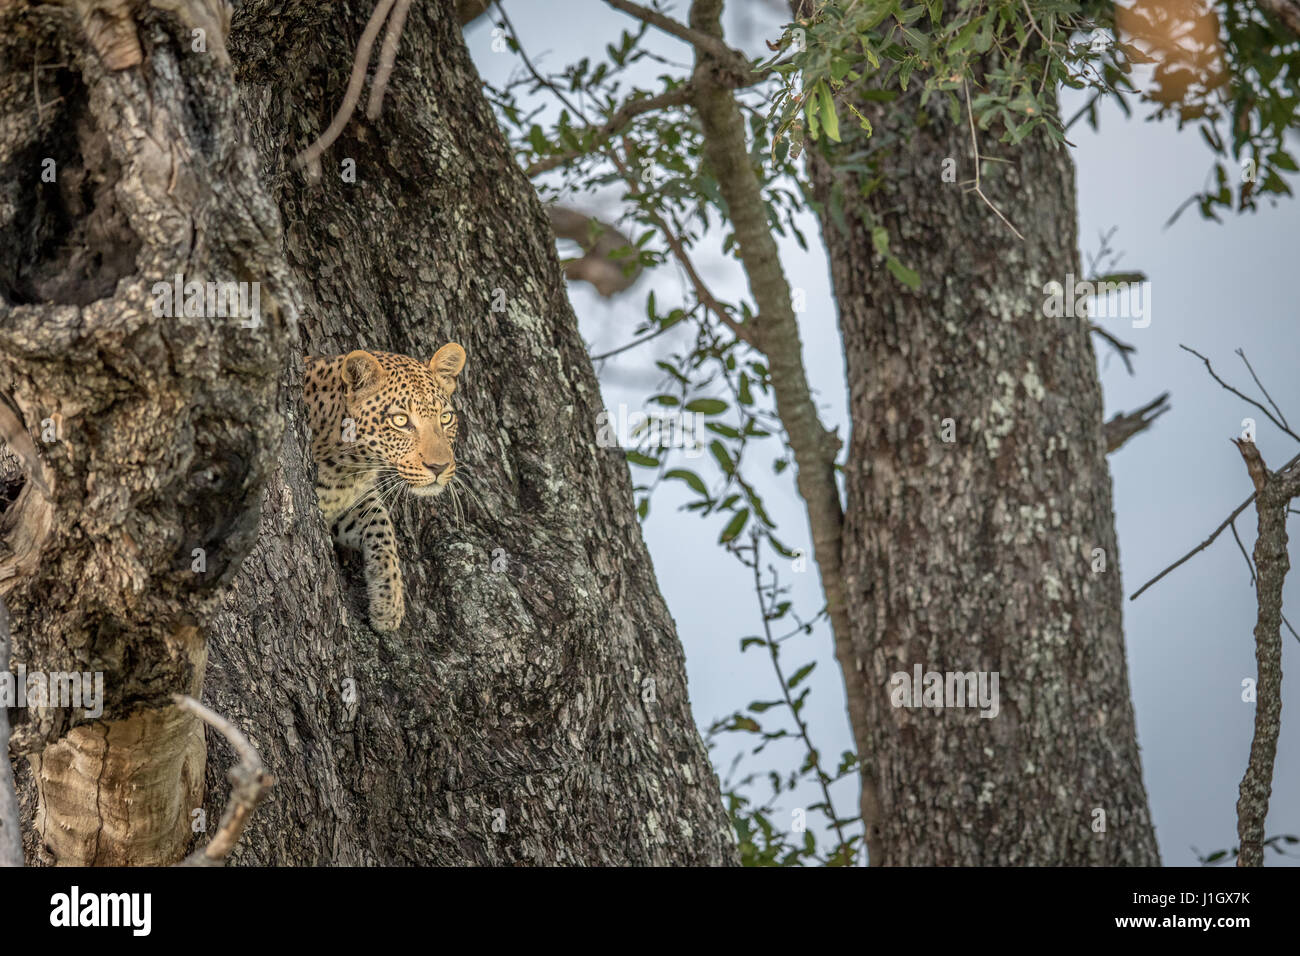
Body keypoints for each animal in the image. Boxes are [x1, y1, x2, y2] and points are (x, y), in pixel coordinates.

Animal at [303, 343, 467, 632]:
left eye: (445, 418)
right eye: (400, 420)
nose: (439, 467)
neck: (348, 466)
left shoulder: (354, 499)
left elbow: (382, 526)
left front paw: (388, 604)